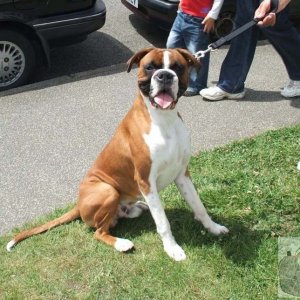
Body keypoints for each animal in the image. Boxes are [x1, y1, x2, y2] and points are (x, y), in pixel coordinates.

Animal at [6, 48, 227, 262]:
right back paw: (121, 243)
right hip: (108, 190)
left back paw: (136, 207)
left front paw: (213, 227)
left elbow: (198, 206)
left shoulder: (182, 174)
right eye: (150, 67)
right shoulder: (146, 181)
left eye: (177, 67)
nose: (164, 75)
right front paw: (172, 248)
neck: (164, 120)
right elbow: (163, 222)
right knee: (99, 231)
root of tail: (78, 205)